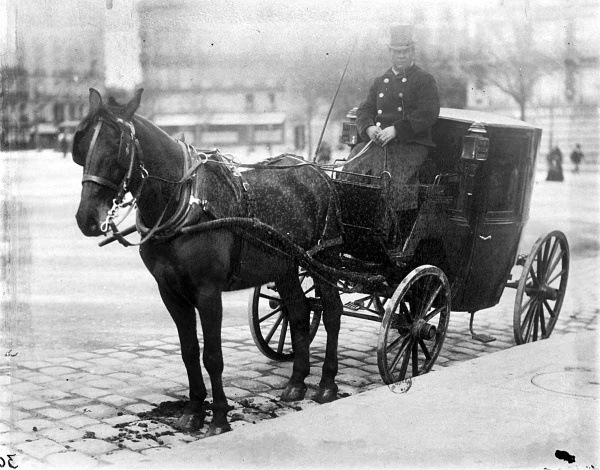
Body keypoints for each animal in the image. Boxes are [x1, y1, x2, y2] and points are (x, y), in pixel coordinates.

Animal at [74, 89, 344, 436]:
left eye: (117, 147)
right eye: (83, 147)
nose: (86, 218)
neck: (184, 202)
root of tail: (315, 170)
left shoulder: (208, 292)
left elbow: (212, 355)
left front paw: (218, 417)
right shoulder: (170, 292)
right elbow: (189, 352)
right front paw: (193, 411)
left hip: (323, 257)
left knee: (332, 313)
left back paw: (327, 383)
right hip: (284, 265)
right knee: (298, 313)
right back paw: (297, 382)